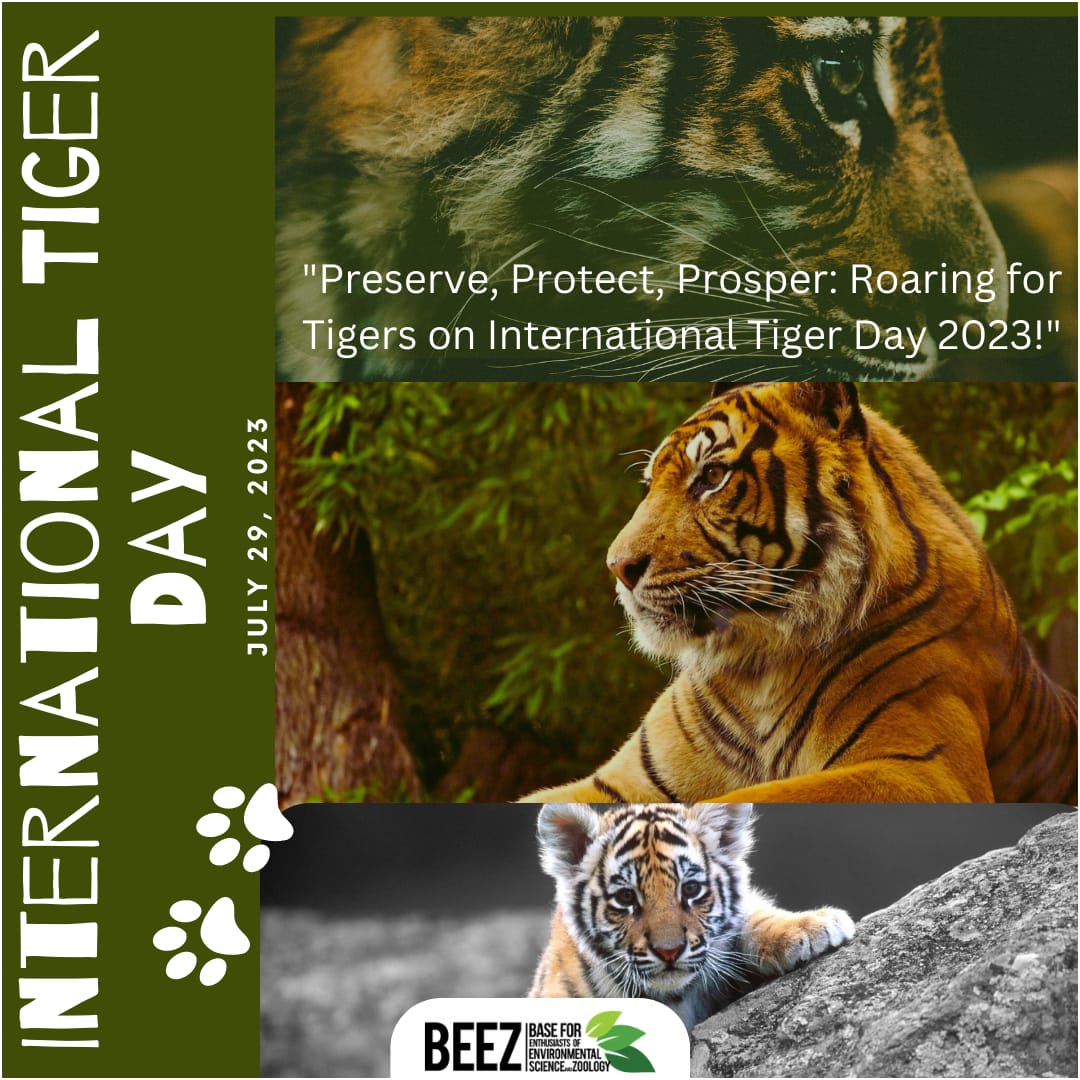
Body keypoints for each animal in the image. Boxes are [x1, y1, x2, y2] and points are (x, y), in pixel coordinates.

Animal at [521, 382, 1078, 805]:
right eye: (650, 484)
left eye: (712, 476)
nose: (618, 567)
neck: (758, 666)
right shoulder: (619, 781)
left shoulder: (921, 769)